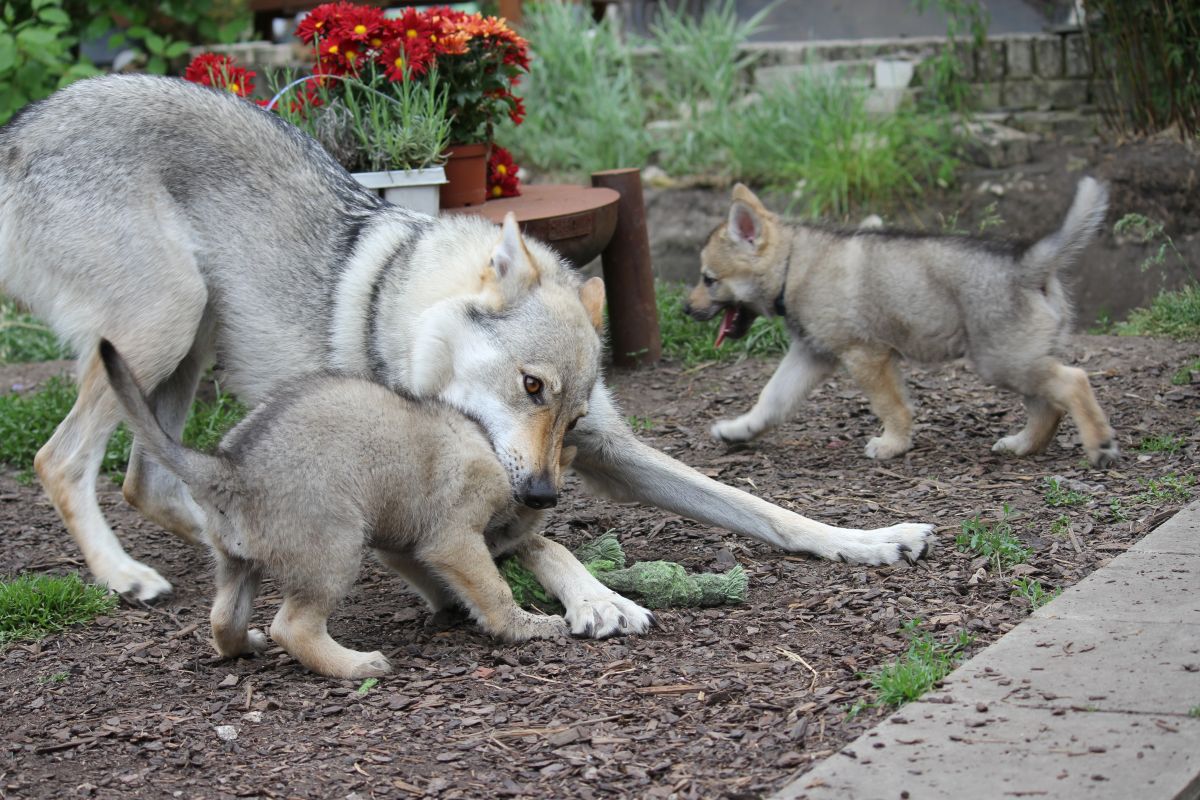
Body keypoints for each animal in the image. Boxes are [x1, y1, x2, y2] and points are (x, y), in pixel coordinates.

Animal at [691, 178, 1118, 465]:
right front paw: (738, 430)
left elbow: (891, 407)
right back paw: (1022, 445)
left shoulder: (866, 357)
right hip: (1017, 362)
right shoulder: (810, 355)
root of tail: (1029, 264)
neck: (794, 265)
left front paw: (892, 445)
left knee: (1074, 382)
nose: (685, 309)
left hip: (1004, 362)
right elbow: (771, 399)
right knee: (1048, 407)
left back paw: (1099, 445)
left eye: (708, 279)